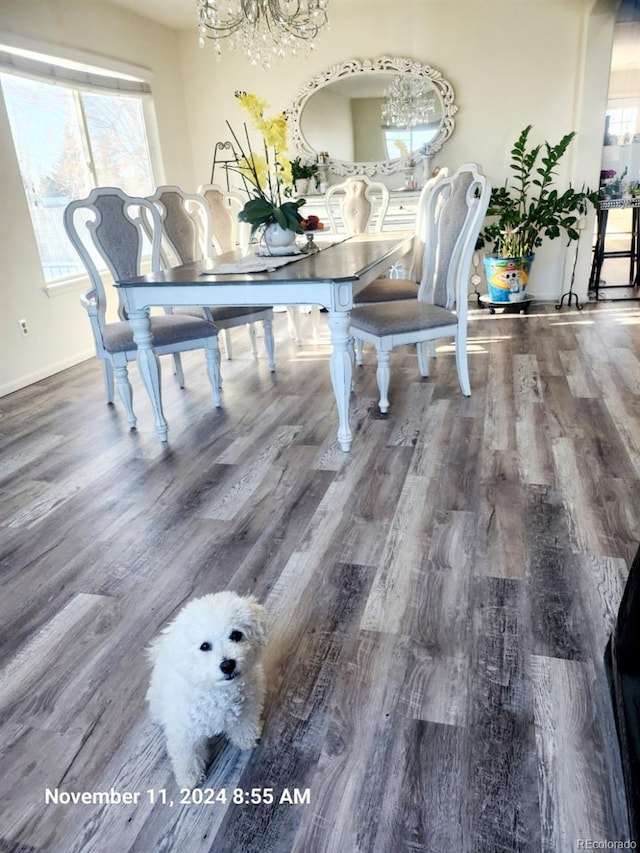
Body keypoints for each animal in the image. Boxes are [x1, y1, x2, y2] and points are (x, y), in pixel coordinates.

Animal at [148, 592, 268, 784]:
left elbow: (244, 725)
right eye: (204, 646)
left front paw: (246, 740)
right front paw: (189, 778)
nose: (227, 665)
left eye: (236, 635)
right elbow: (187, 756)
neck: (218, 690)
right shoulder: (184, 731)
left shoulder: (248, 707)